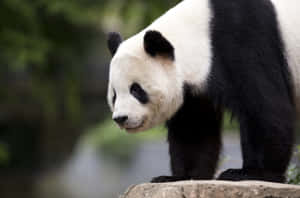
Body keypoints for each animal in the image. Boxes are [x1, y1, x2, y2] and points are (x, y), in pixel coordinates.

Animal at [105, 0, 300, 183]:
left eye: (136, 90)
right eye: (114, 95)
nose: (121, 118)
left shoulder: (246, 40)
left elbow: (265, 108)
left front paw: (253, 173)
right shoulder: (196, 87)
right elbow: (195, 127)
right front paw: (181, 177)